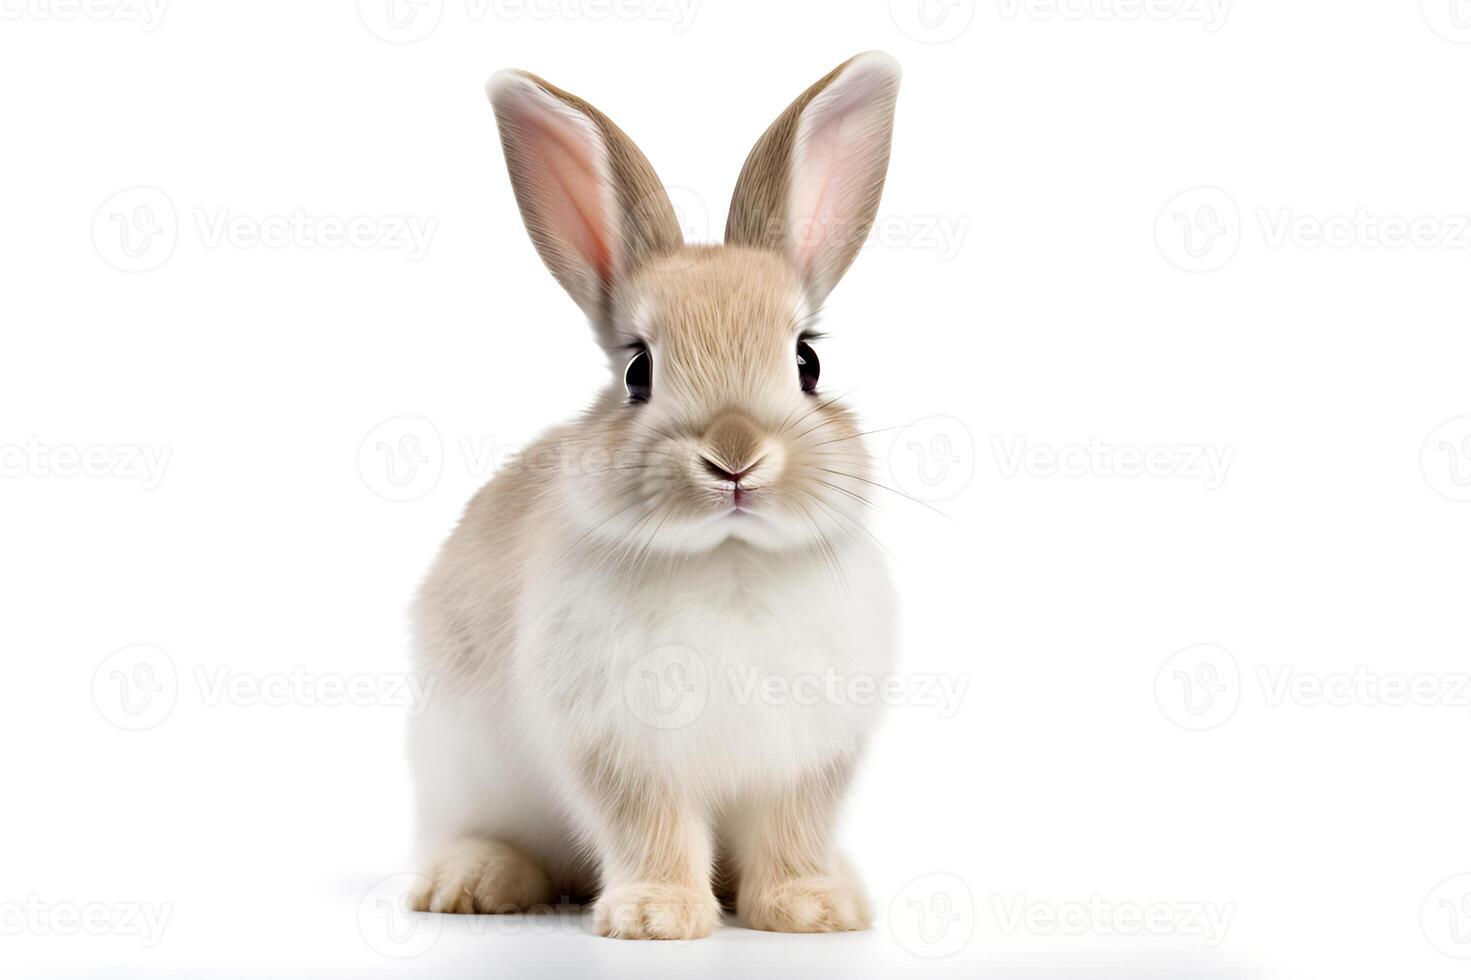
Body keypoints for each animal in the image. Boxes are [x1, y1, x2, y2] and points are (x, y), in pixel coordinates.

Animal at [408, 53, 900, 941]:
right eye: (637, 370)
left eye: (806, 362)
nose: (734, 458)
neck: (729, 562)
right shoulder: (620, 752)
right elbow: (650, 829)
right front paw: (655, 918)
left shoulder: (807, 763)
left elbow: (791, 833)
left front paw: (810, 909)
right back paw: (471, 882)